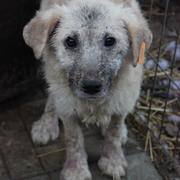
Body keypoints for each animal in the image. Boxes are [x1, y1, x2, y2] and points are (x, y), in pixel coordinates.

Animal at [22, 0, 152, 179]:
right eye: (70, 41)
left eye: (110, 40)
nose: (91, 86)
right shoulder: (68, 107)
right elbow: (73, 139)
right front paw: (76, 170)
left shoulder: (124, 98)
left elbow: (114, 132)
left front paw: (113, 161)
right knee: (52, 94)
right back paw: (47, 123)